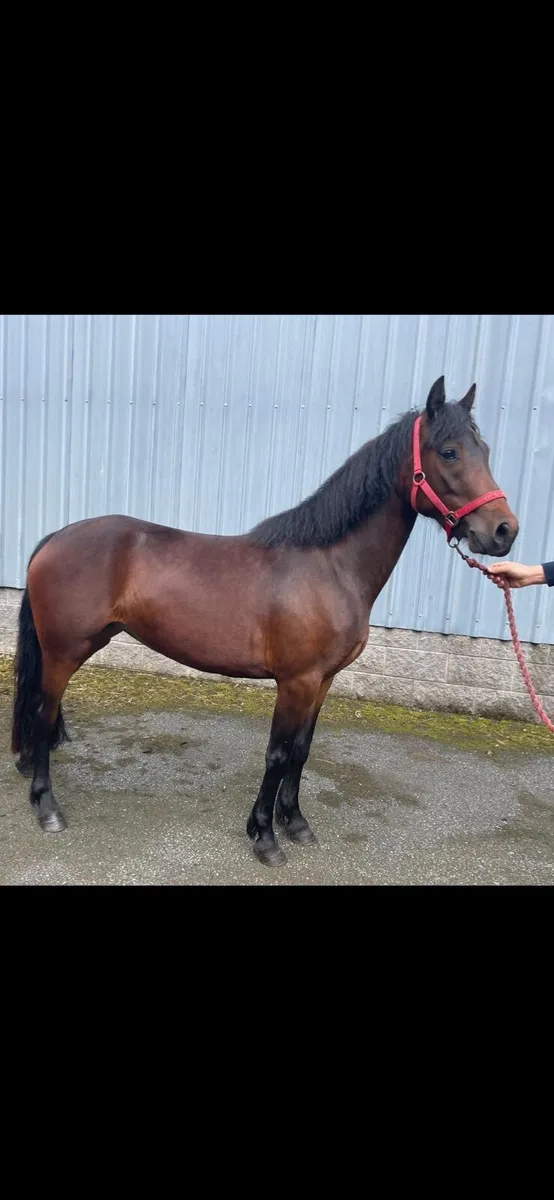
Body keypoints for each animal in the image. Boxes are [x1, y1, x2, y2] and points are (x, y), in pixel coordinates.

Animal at [11, 376, 518, 867]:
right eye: (449, 451)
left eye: (486, 449)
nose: (503, 531)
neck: (330, 566)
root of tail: (57, 537)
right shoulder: (295, 681)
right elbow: (277, 753)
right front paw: (265, 838)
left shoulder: (322, 681)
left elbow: (301, 750)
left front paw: (295, 823)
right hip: (64, 652)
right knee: (43, 715)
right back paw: (48, 808)